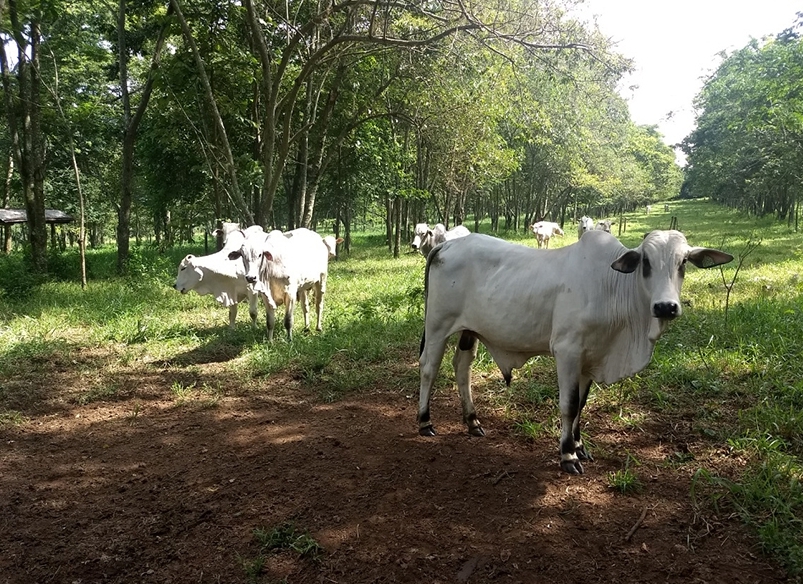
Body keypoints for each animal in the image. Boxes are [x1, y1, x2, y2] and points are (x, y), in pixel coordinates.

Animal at [418, 228, 732, 474]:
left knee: (462, 366)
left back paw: (472, 422)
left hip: (469, 331)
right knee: (429, 367)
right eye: (646, 262)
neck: (612, 287)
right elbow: (568, 404)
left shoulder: (591, 358)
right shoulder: (568, 352)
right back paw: (424, 421)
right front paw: (567, 454)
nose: (666, 307)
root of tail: (447, 245)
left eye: (683, 262)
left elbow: (581, 404)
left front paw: (580, 446)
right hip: (437, 325)